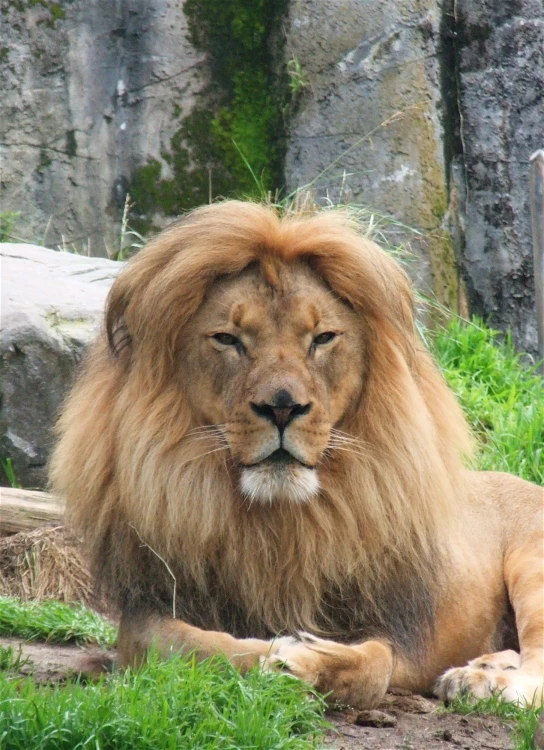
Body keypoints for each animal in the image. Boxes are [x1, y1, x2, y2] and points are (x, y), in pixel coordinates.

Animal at [49, 200, 540, 712]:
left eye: (322, 338)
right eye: (228, 339)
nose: (282, 407)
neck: (280, 523)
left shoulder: (401, 630)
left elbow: (373, 663)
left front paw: (304, 658)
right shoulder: (152, 603)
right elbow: (193, 646)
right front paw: (274, 655)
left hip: (533, 567)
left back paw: (484, 683)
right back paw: (482, 668)